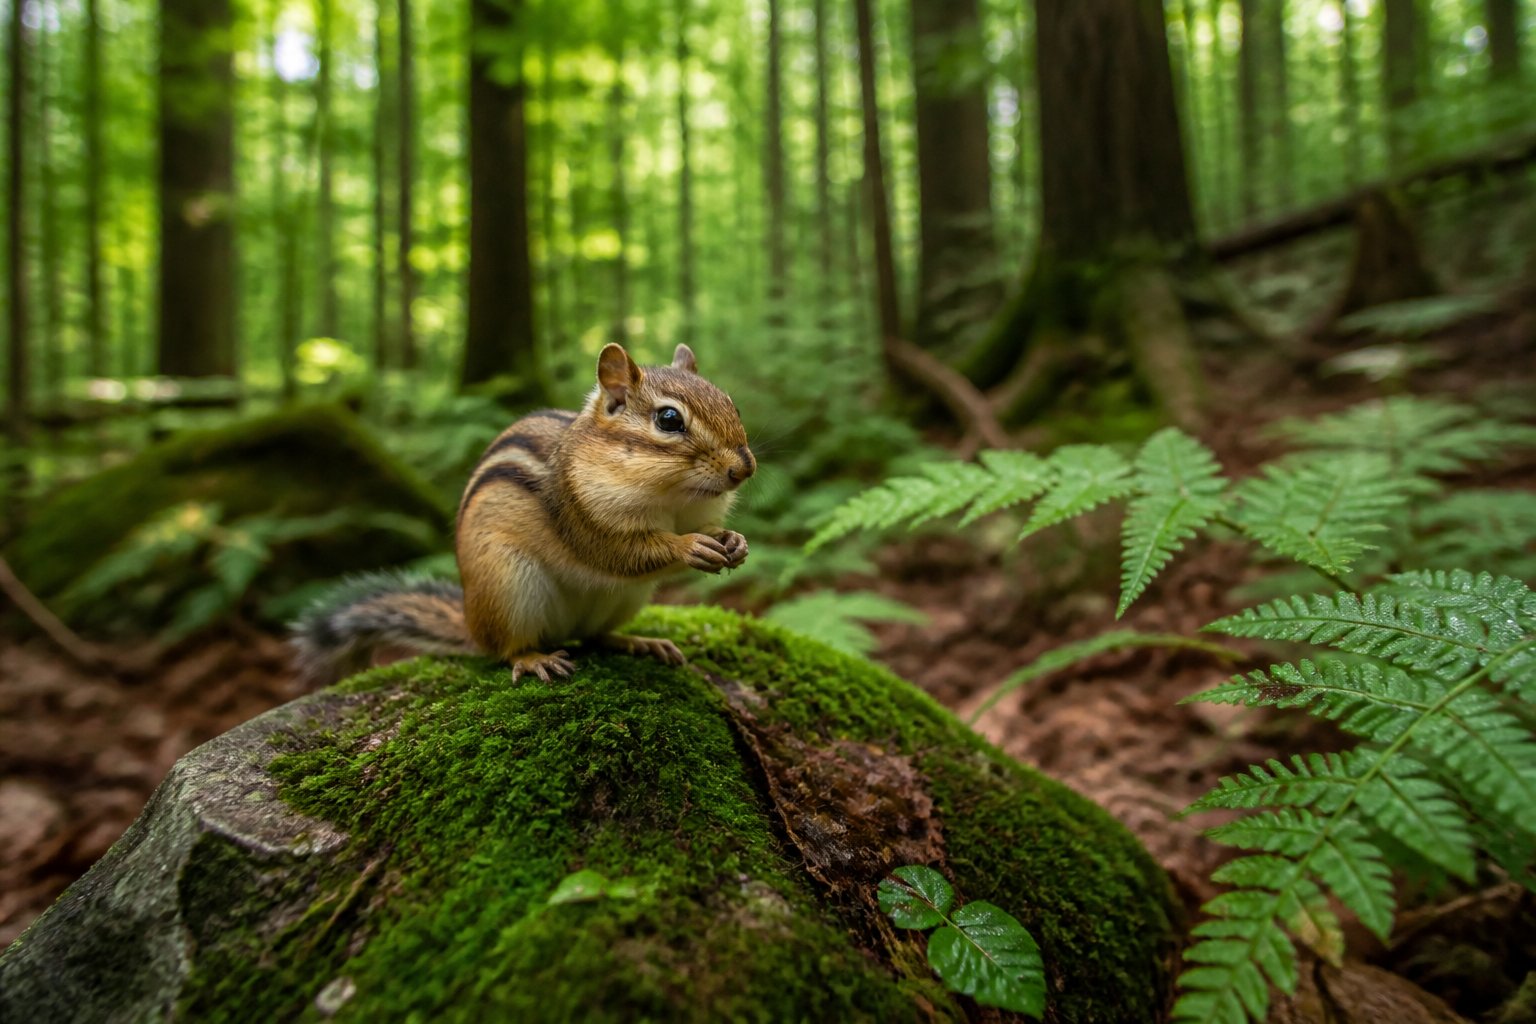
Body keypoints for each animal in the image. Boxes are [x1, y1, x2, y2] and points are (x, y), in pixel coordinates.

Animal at [292, 342, 755, 685]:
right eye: (669, 419)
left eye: (732, 404)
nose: (744, 469)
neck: (672, 496)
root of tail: (471, 623)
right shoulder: (579, 514)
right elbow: (621, 553)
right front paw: (688, 546)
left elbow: (706, 528)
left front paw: (733, 540)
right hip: (508, 585)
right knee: (506, 649)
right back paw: (534, 658)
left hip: (625, 598)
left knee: (596, 635)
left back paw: (637, 641)